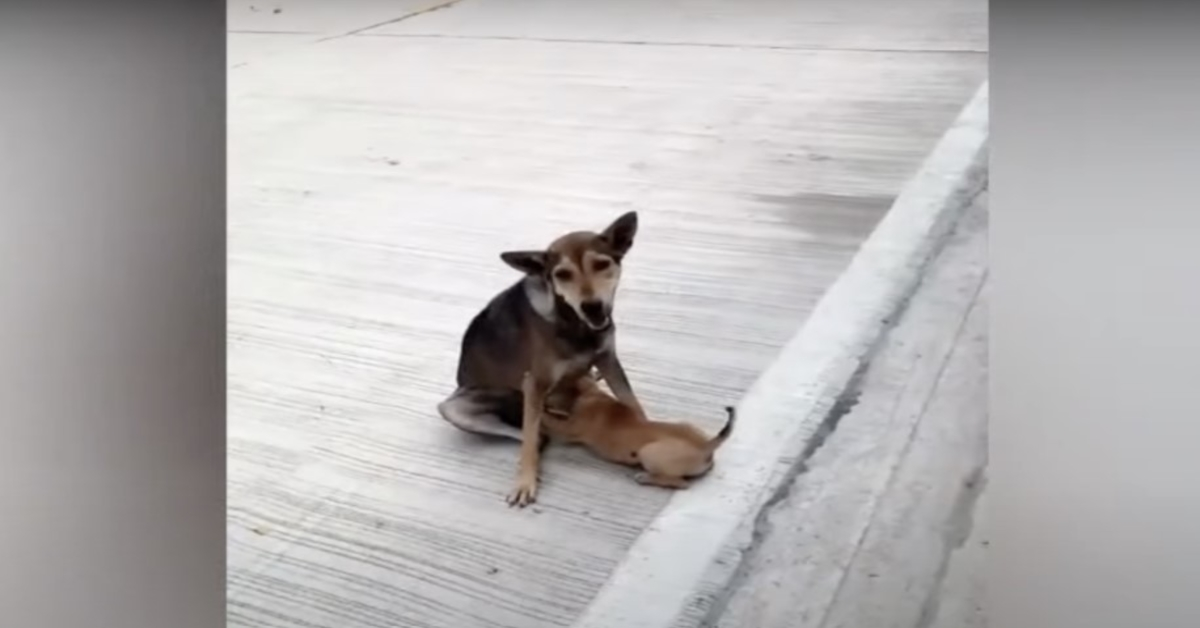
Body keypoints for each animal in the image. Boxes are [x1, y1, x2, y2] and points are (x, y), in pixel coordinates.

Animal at [439, 211, 648, 506]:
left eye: (601, 264)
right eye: (562, 275)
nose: (592, 306)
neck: (575, 324)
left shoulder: (608, 360)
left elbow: (632, 402)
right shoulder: (534, 383)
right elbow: (528, 440)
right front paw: (525, 482)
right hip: (458, 406)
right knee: (536, 437)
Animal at [542, 374, 729, 492]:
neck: (589, 393)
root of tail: (706, 445)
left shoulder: (568, 428)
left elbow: (549, 419)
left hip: (648, 452)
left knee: (680, 483)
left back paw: (645, 478)